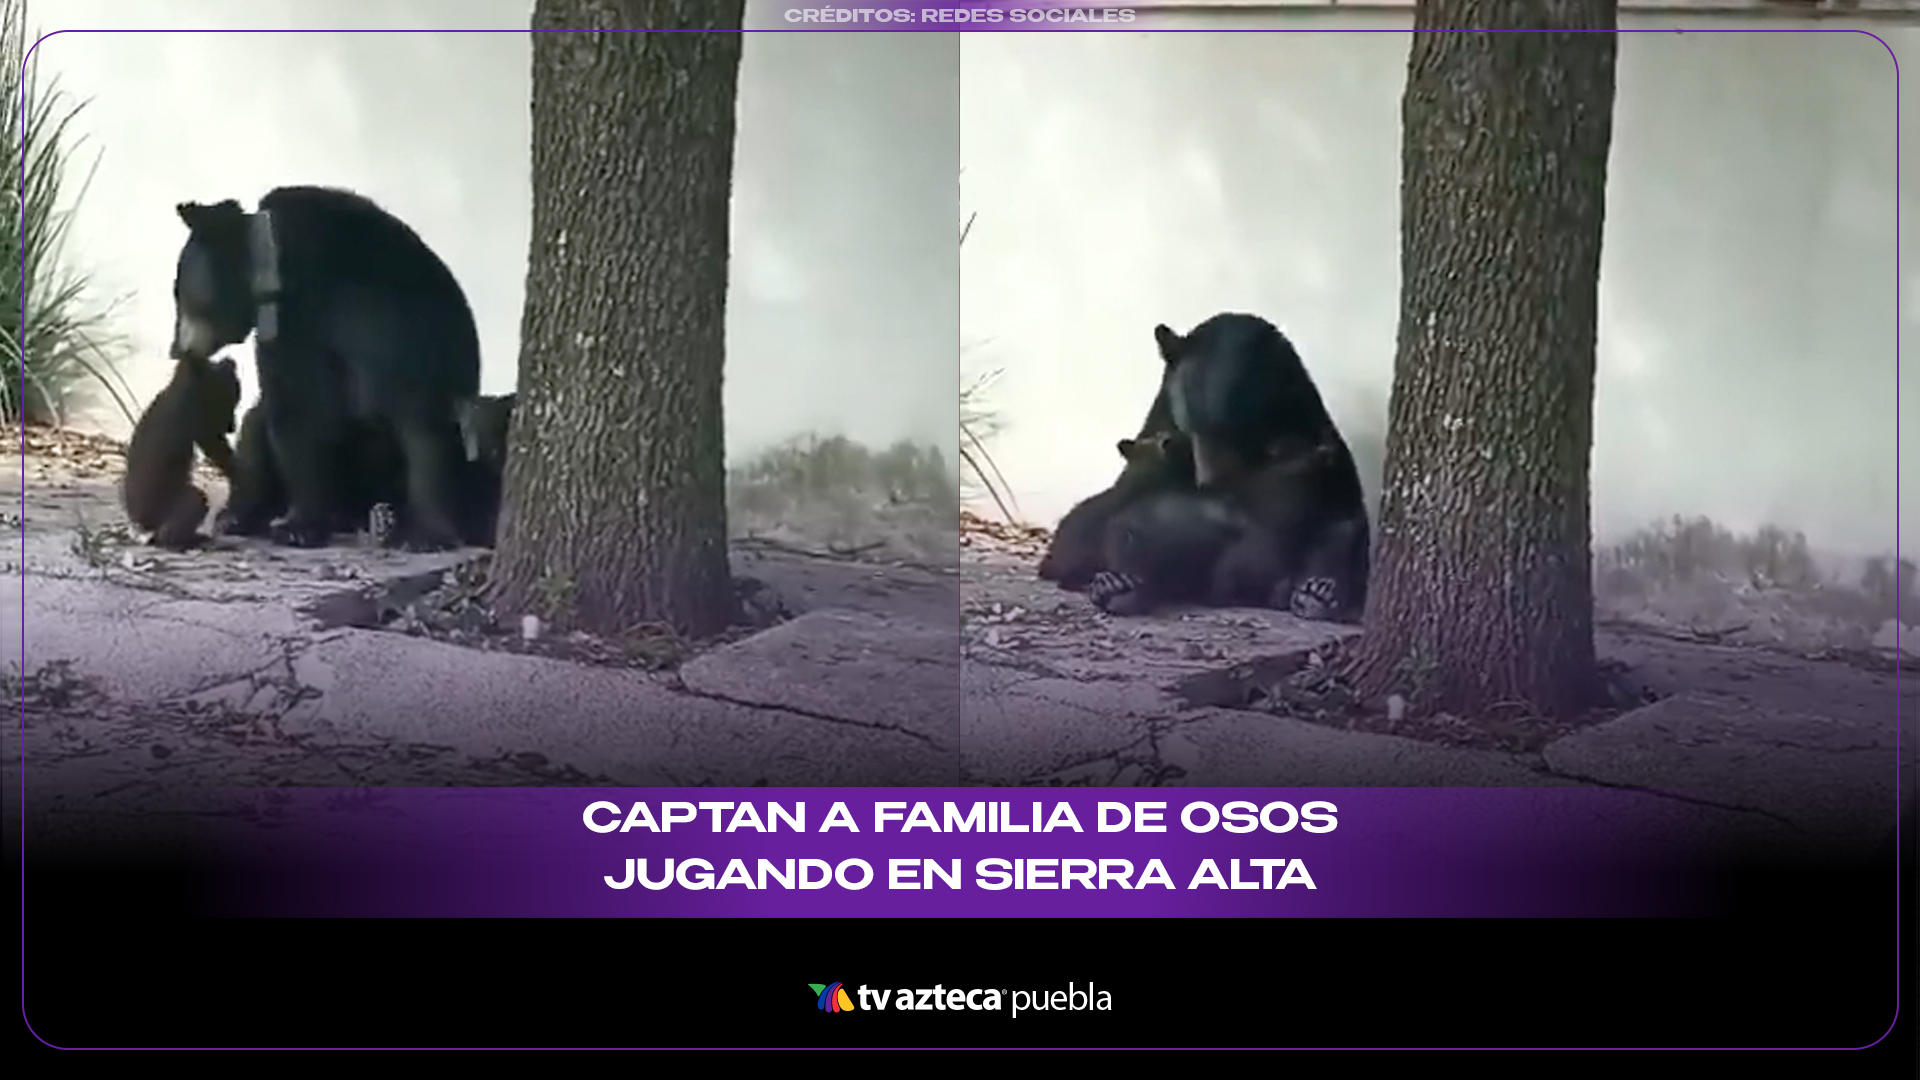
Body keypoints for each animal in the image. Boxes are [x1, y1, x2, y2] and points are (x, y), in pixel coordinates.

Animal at [121, 355, 242, 550]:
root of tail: (140, 524)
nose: (233, 427)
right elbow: (216, 449)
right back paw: (189, 539)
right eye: (229, 402)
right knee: (194, 500)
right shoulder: (198, 422)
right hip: (164, 504)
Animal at [169, 186, 482, 552]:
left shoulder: (385, 320)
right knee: (255, 427)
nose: (176, 349)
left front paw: (425, 534)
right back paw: (239, 516)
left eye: (179, 294)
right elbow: (299, 408)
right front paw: (299, 525)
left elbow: (416, 418)